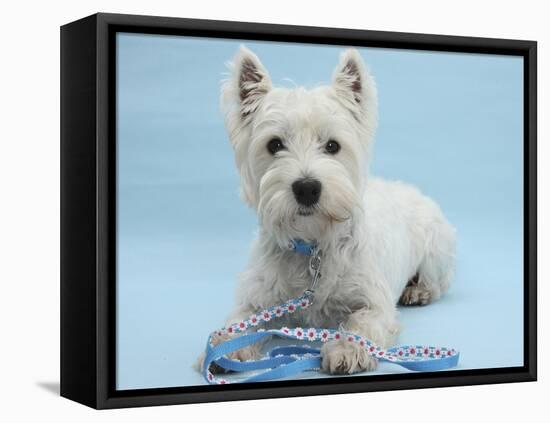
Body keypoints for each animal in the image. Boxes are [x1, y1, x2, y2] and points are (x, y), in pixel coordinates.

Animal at [198, 46, 458, 376]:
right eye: (274, 144)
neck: (313, 247)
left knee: (438, 282)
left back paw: (417, 291)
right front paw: (222, 348)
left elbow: (360, 324)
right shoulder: (257, 299)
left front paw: (346, 349)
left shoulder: (374, 302)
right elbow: (238, 323)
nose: (307, 188)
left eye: (333, 145)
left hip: (436, 250)